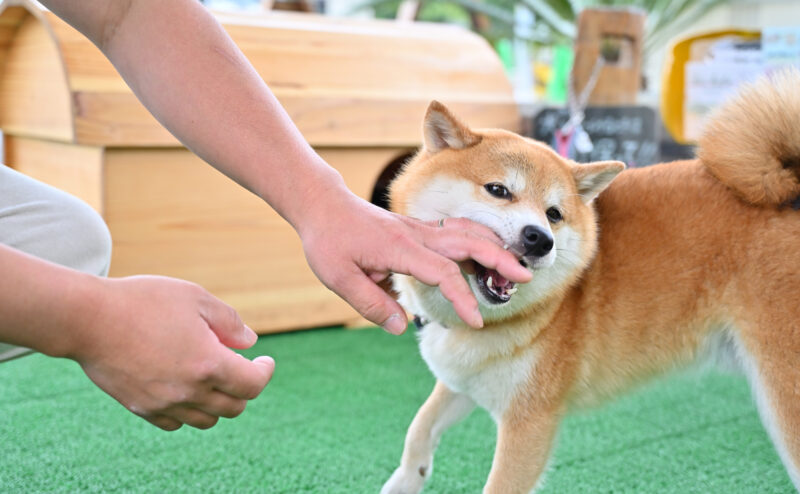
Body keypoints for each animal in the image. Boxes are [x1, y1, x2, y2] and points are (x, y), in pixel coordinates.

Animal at [382, 70, 800, 494]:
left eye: (554, 214)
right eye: (498, 190)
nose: (540, 239)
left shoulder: (529, 420)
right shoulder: (462, 379)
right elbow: (419, 428)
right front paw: (405, 480)